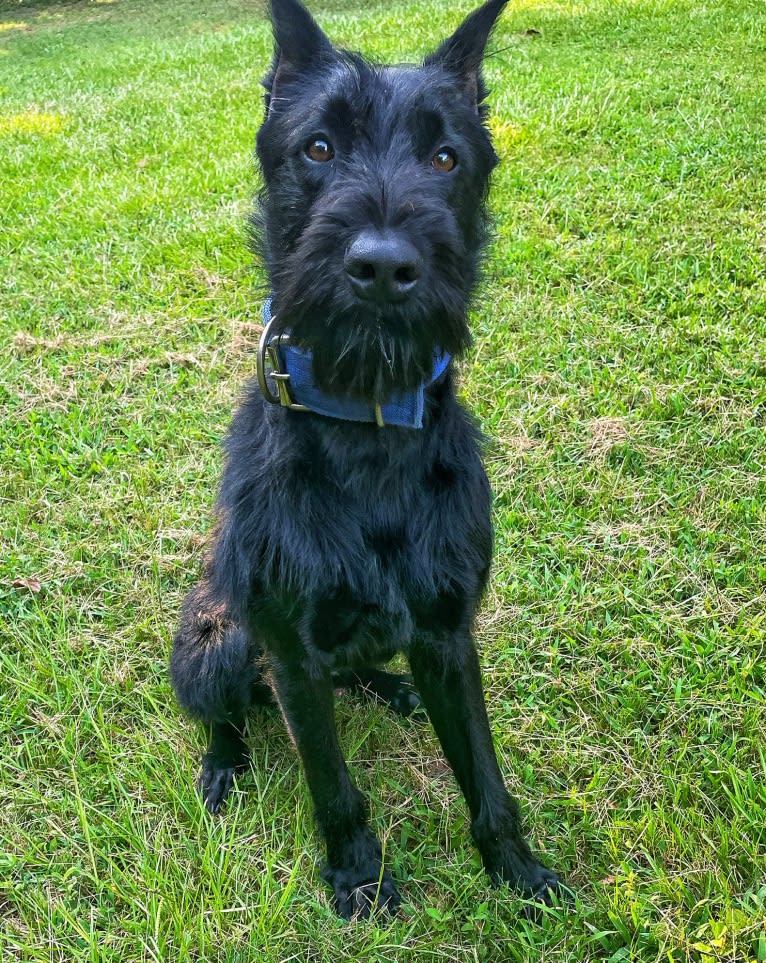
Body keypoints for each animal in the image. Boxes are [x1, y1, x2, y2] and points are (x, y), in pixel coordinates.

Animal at [172, 0, 564, 924]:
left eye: (446, 157)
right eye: (318, 147)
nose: (383, 266)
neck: (368, 424)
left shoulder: (450, 632)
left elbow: (487, 781)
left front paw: (518, 871)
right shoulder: (294, 655)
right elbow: (333, 784)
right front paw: (357, 875)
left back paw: (392, 690)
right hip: (218, 640)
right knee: (228, 716)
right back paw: (222, 768)